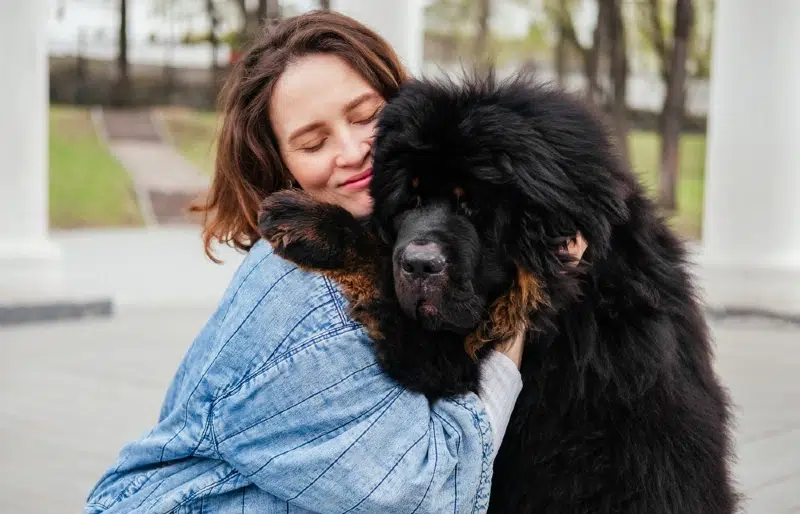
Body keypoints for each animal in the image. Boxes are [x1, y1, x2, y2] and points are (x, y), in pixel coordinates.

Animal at [256, 73, 736, 512]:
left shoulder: (443, 359)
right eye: (410, 202)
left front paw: (307, 221)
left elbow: (377, 260)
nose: (419, 264)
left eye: (473, 208)